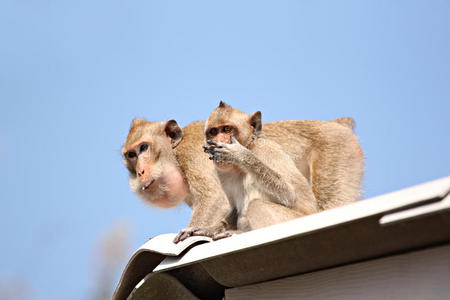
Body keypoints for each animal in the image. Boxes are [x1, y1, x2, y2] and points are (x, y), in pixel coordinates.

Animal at [202, 102, 364, 240]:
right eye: (213, 131)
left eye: (227, 129)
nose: (219, 139)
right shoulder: (221, 171)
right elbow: (234, 210)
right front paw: (210, 229)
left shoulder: (266, 149)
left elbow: (289, 193)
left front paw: (240, 155)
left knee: (257, 205)